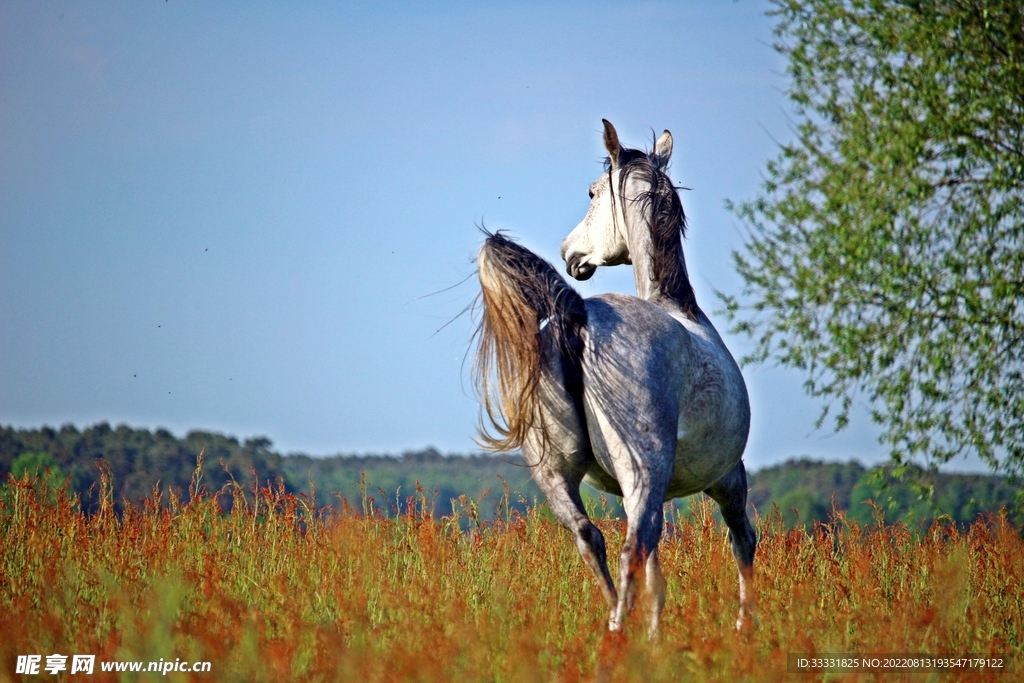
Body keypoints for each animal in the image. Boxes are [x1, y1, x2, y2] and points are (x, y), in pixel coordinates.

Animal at [473, 120, 756, 635]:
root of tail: (580, 314)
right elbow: (741, 545)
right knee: (632, 550)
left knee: (593, 540)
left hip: (560, 475)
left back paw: (615, 630)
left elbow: (659, 578)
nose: (570, 253)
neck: (679, 308)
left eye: (591, 192)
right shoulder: (729, 478)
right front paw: (746, 628)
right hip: (647, 475)